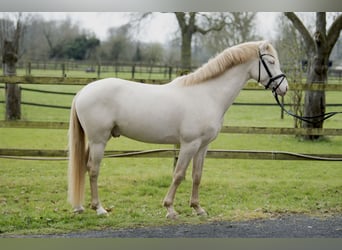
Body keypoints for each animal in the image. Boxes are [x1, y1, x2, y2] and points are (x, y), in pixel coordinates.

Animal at [67, 40, 288, 219]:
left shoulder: (203, 146)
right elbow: (179, 174)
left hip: (93, 141)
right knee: (93, 170)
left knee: (84, 167)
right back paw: (99, 209)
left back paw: (80, 207)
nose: (284, 88)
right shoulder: (189, 144)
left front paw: (198, 208)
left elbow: (197, 176)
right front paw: (170, 209)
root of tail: (83, 91)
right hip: (99, 140)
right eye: (270, 61)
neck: (207, 94)